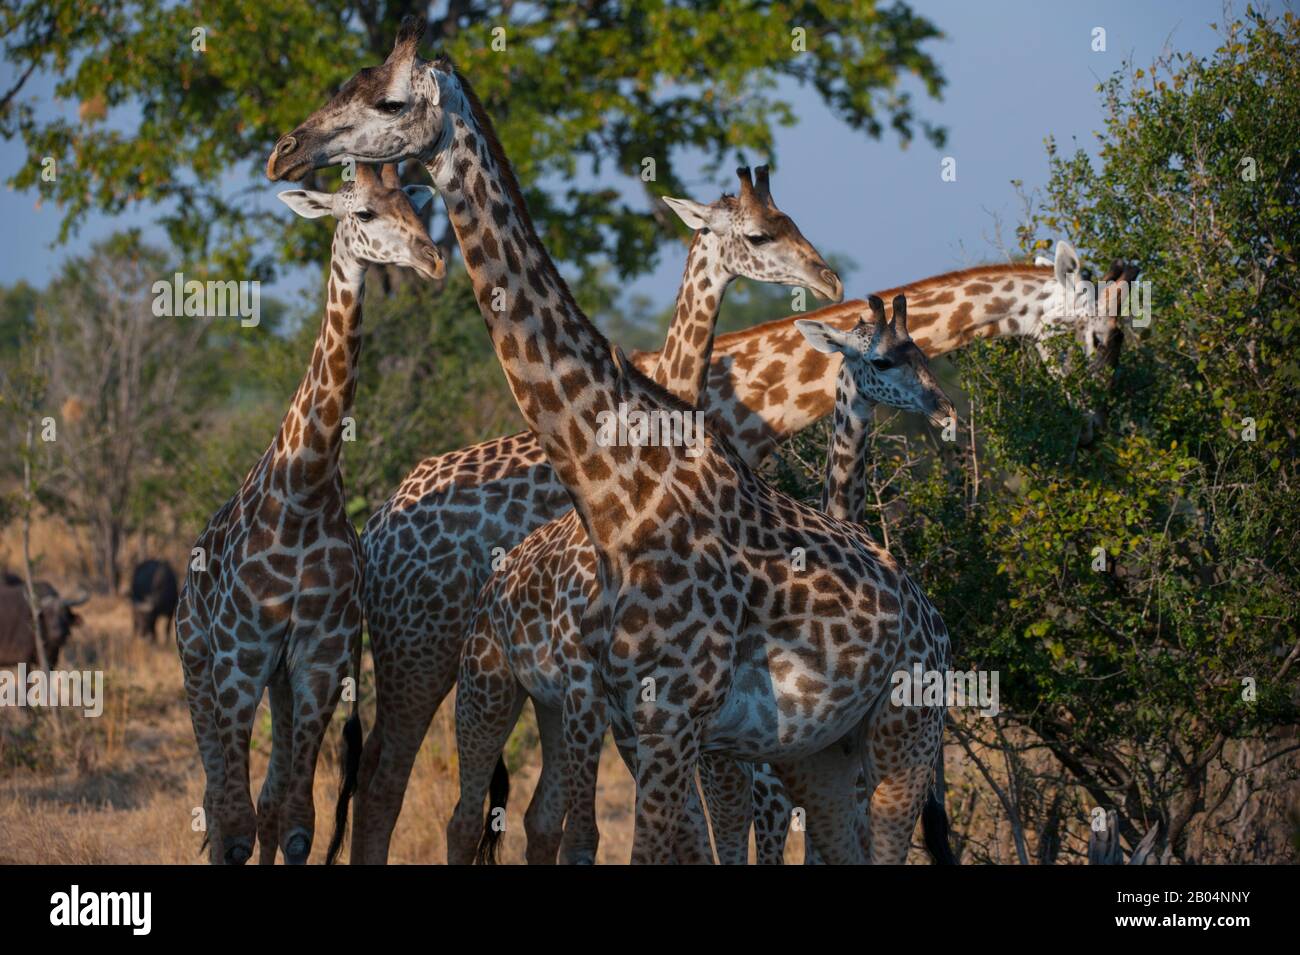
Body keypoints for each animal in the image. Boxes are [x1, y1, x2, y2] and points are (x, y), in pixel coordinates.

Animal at [174, 162, 443, 865]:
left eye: (415, 204)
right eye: (365, 213)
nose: (433, 259)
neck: (305, 491)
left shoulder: (319, 659)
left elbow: (295, 821)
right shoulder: (239, 658)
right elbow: (233, 829)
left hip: (281, 681)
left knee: (271, 801)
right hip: (197, 661)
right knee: (218, 800)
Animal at [447, 164, 842, 865]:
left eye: (793, 220)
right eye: (761, 234)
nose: (830, 280)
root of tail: (493, 586)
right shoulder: (599, 690)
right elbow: (613, 831)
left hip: (550, 708)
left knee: (538, 816)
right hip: (490, 686)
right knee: (470, 816)